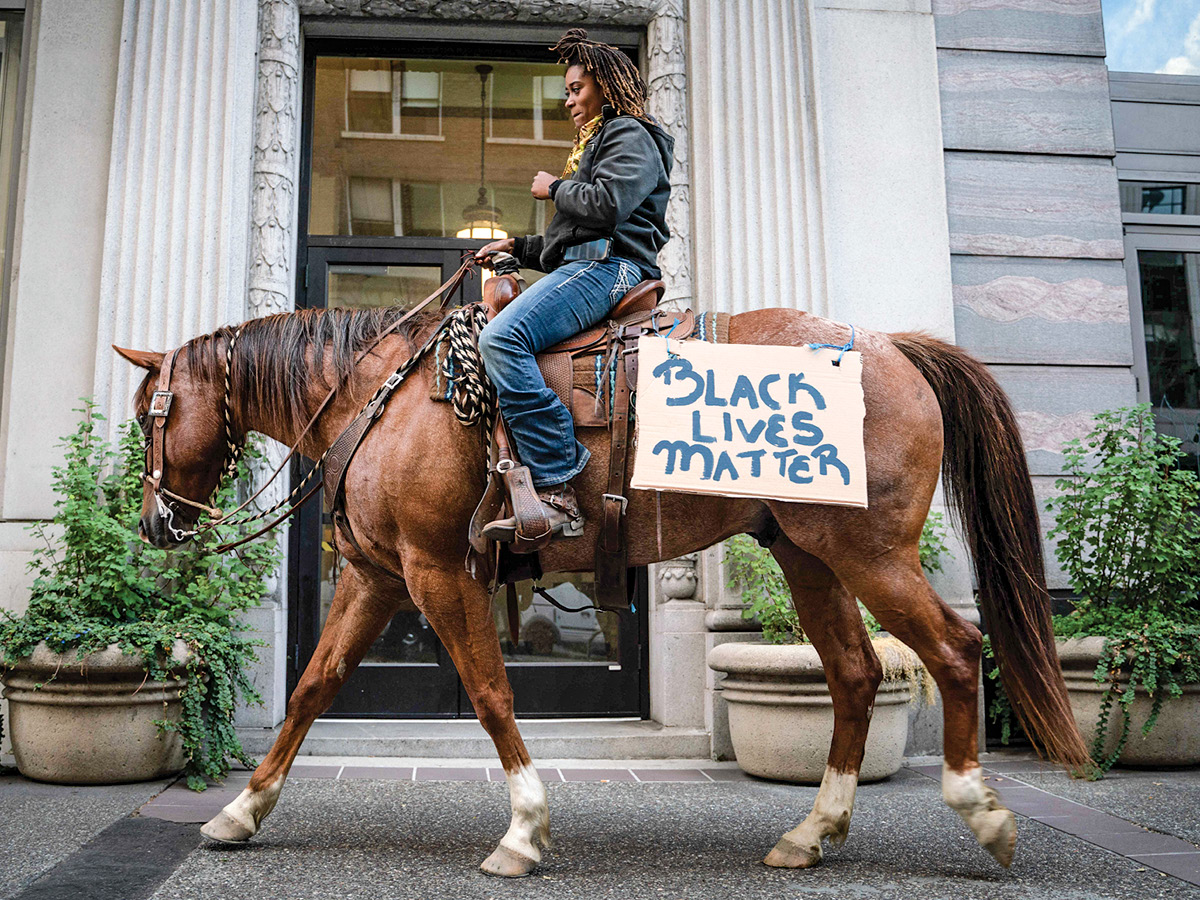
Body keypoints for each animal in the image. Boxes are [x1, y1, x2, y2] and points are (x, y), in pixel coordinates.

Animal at [117, 301, 1094, 873]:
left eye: (148, 414)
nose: (157, 524)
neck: (376, 395)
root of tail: (895, 348)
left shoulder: (436, 573)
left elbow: (489, 693)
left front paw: (524, 829)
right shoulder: (376, 575)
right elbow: (313, 690)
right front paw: (240, 812)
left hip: (871, 552)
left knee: (955, 648)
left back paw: (981, 810)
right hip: (809, 554)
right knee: (854, 674)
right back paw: (812, 832)